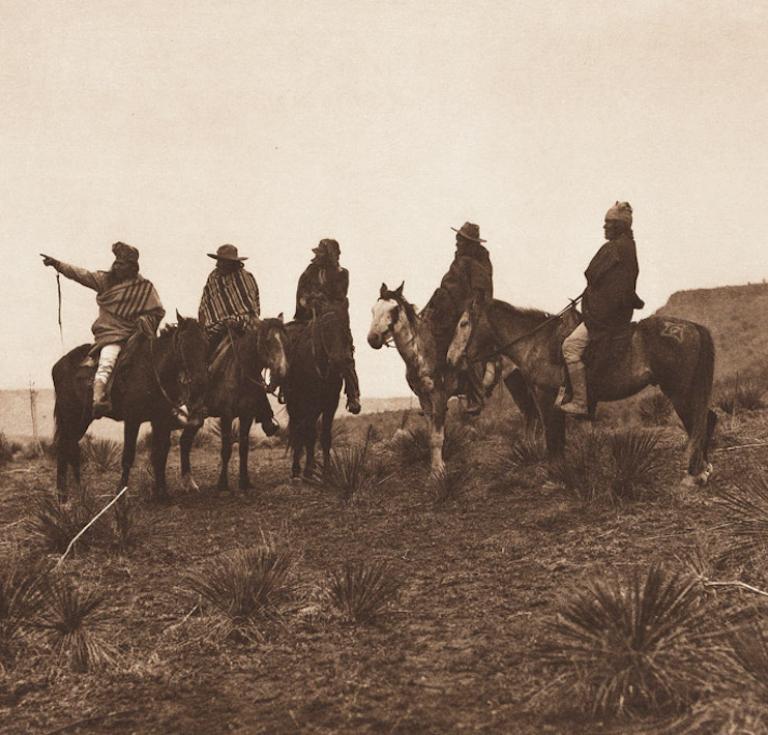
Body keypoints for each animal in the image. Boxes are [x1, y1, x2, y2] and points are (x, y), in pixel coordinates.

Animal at [52, 314, 208, 504]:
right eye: (184, 345)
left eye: (206, 343)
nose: (201, 382)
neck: (152, 370)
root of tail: (58, 365)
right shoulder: (132, 420)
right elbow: (128, 457)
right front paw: (121, 496)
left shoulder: (161, 421)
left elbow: (160, 455)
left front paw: (162, 494)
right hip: (71, 418)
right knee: (64, 448)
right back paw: (63, 498)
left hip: (82, 419)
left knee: (68, 448)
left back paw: (73, 494)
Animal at [178, 318, 290, 494]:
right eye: (267, 341)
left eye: (285, 341)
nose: (282, 371)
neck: (240, 372)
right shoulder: (226, 415)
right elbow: (226, 450)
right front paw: (222, 485)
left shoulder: (247, 416)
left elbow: (244, 448)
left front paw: (244, 482)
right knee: (185, 441)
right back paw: (188, 483)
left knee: (185, 441)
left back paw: (189, 483)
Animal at [284, 302, 352, 480]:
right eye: (325, 329)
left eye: (345, 325)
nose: (338, 361)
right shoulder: (307, 404)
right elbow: (308, 434)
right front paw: (307, 471)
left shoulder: (330, 403)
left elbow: (325, 436)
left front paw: (326, 471)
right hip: (294, 405)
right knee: (298, 430)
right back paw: (297, 469)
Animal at [448, 300, 716, 488]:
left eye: (463, 323)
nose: (450, 359)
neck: (536, 343)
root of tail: (693, 327)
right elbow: (559, 438)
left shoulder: (546, 397)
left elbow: (553, 438)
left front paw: (554, 477)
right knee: (707, 420)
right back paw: (702, 471)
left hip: (679, 392)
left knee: (698, 423)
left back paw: (694, 475)